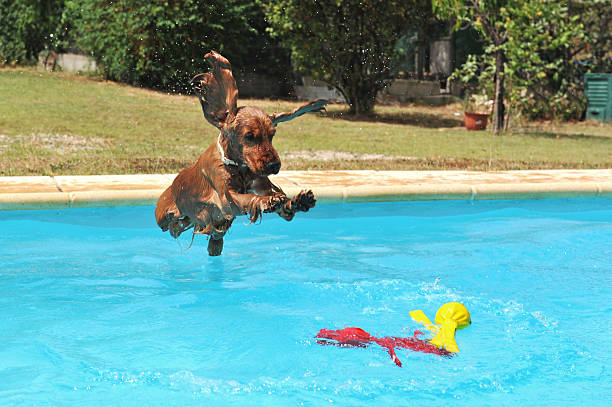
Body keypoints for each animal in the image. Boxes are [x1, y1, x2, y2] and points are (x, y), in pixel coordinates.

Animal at [154, 50, 330, 255]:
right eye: (249, 136)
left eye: (272, 135)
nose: (275, 165)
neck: (240, 167)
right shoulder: (226, 199)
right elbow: (248, 198)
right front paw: (266, 201)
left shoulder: (261, 185)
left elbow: (284, 205)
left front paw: (299, 201)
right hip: (163, 215)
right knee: (172, 225)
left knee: (210, 236)